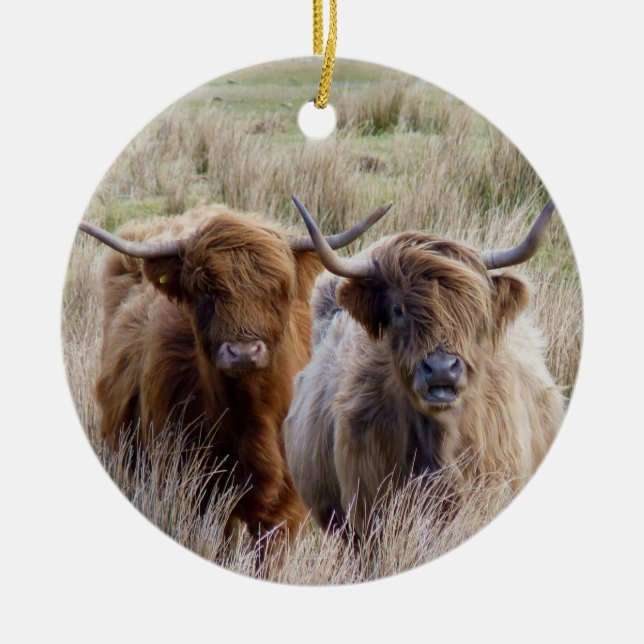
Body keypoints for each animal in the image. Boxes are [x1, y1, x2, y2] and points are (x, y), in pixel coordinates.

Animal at [78, 201, 391, 553]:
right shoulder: (197, 494)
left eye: (279, 290)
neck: (252, 417)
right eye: (204, 290)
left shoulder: (283, 510)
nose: (243, 351)